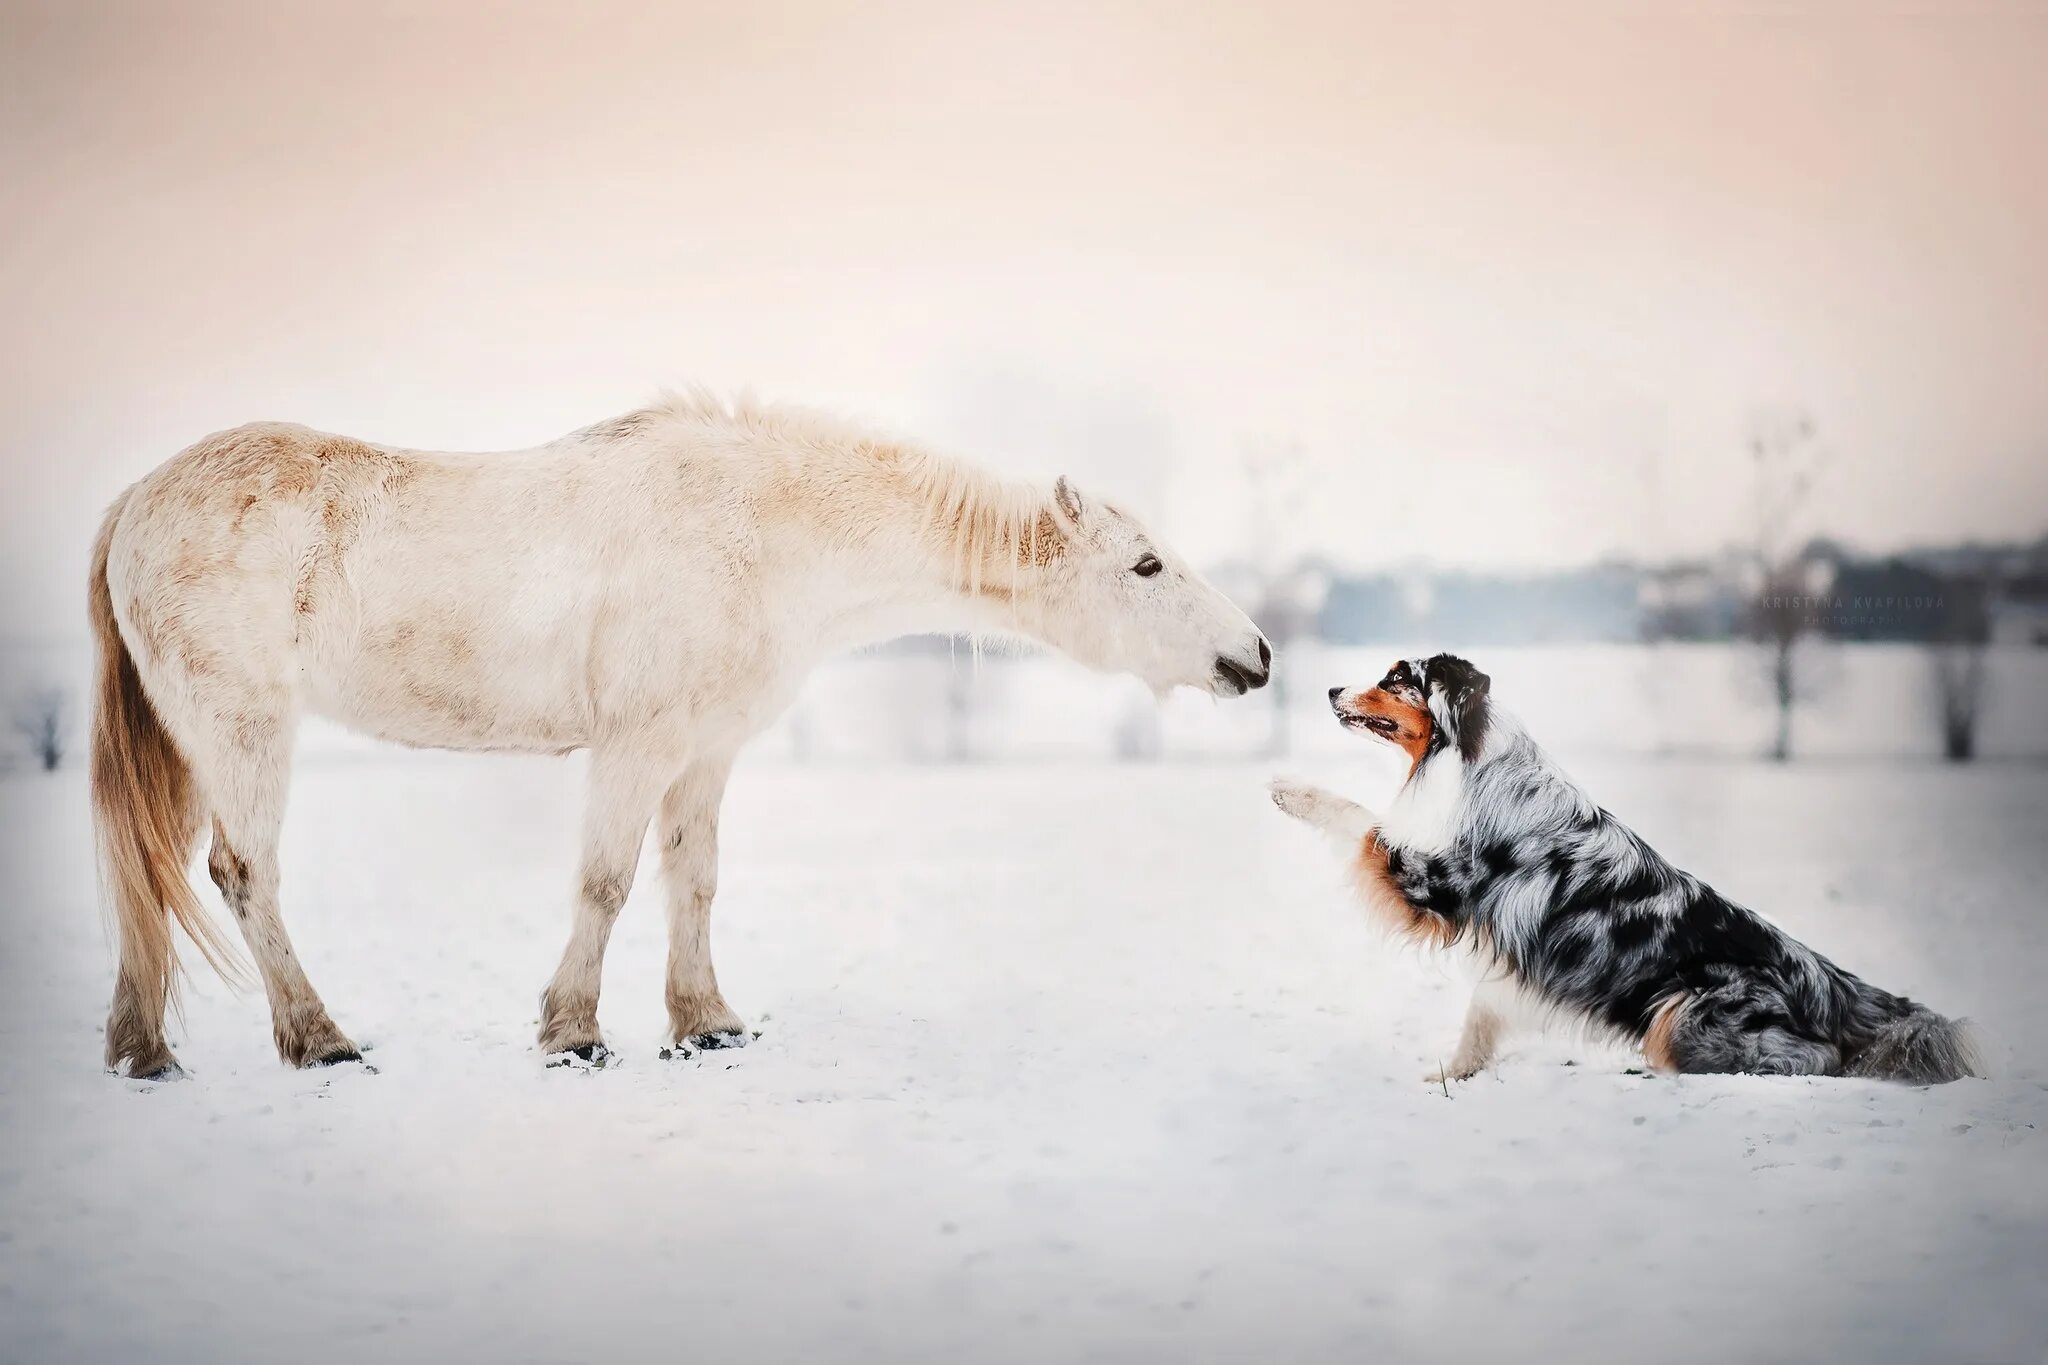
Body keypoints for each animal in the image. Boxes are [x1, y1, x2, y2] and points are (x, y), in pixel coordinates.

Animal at [92, 392, 1261, 1080]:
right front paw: (574, 1033)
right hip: (242, 731)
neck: (765, 532)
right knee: (244, 876)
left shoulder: (705, 753)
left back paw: (141, 1051)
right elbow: (606, 885)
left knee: (149, 882)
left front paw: (705, 1022)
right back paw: (318, 1039)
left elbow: (692, 882)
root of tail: (136, 500)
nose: (1253, 655)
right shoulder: (637, 745)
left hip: (192, 746)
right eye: (1146, 564)